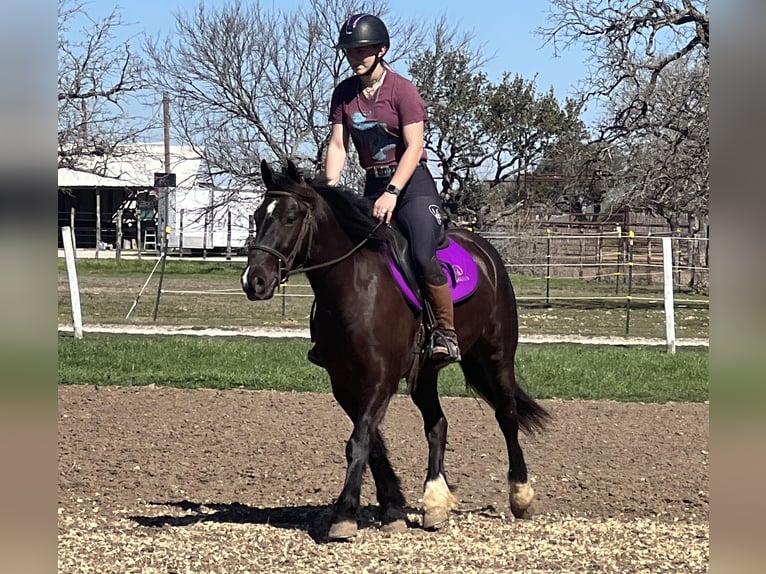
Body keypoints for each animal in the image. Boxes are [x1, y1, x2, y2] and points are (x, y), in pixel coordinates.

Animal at [243, 160, 548, 544]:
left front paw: (344, 516)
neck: (355, 285)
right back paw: (435, 503)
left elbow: (359, 441)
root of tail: (486, 252)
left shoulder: (380, 379)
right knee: (438, 424)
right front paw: (392, 509)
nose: (253, 281)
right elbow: (372, 443)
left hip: (496, 355)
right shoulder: (344, 382)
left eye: (290, 217)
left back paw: (520, 495)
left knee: (506, 415)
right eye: (258, 215)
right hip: (426, 373)